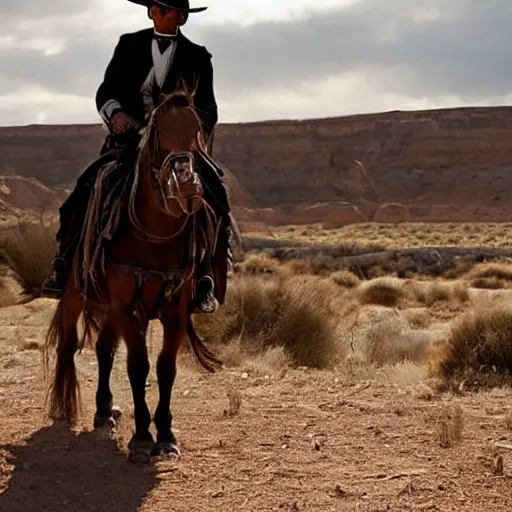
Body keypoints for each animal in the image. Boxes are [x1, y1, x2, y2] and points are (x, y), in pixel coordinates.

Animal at [42, 92, 222, 464]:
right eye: (157, 132)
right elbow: (138, 366)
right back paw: (65, 406)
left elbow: (166, 368)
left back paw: (103, 410)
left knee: (104, 349)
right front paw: (141, 438)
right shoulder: (125, 306)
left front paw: (165, 436)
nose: (186, 185)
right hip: (74, 295)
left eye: (197, 130)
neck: (155, 235)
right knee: (68, 344)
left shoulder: (174, 310)